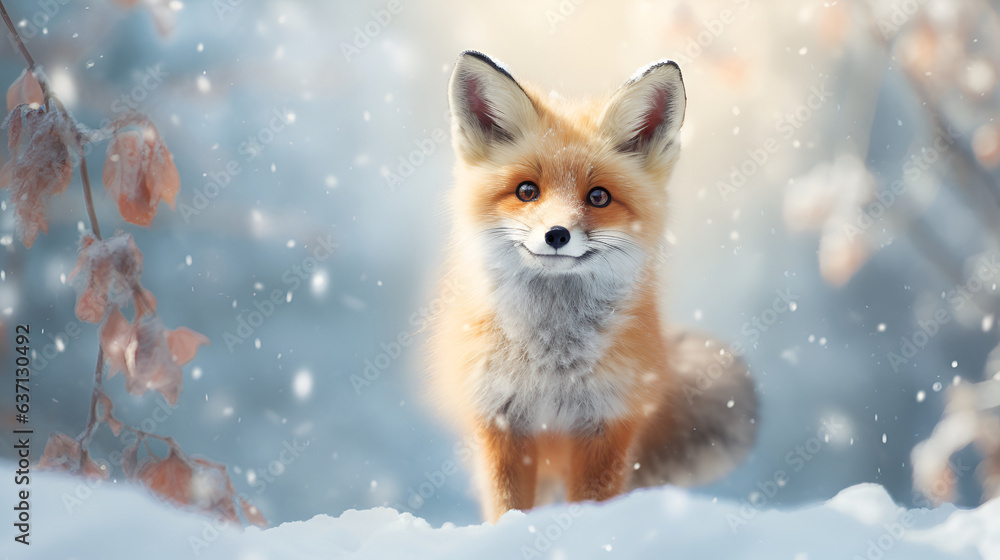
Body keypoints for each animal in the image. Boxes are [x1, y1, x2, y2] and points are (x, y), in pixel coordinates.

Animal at [427, 50, 757, 523]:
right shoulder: (500, 420)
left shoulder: (607, 422)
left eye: (598, 197)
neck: (551, 362)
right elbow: (508, 506)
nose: (557, 234)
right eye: (526, 191)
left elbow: (591, 502)